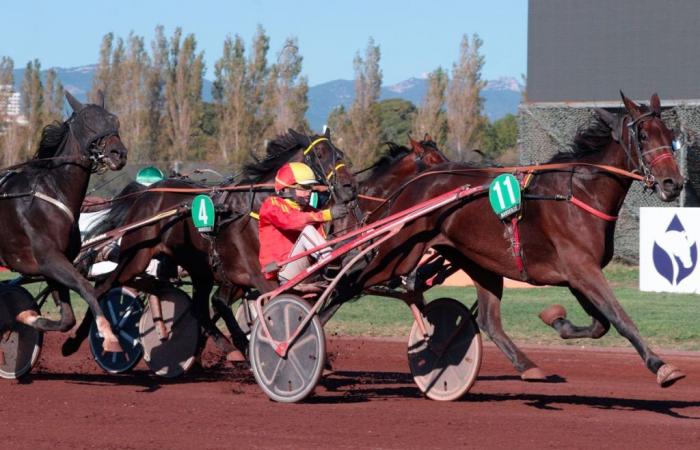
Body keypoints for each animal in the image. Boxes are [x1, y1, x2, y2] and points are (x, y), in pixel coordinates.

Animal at [0, 93, 129, 354]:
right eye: (88, 121)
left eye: (114, 120)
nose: (118, 154)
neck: (53, 192)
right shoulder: (49, 259)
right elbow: (85, 286)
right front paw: (109, 336)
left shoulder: (54, 265)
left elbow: (67, 319)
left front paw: (26, 316)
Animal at [59, 128, 356, 360]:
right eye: (321, 155)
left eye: (340, 154)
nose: (349, 188)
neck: (252, 208)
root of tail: (146, 193)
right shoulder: (258, 275)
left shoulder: (234, 277)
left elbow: (223, 304)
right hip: (137, 256)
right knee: (104, 286)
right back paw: (75, 341)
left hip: (197, 269)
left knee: (197, 306)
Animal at [330, 93, 688, 388]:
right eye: (643, 136)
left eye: (670, 137)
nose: (674, 183)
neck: (579, 193)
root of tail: (414, 185)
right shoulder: (582, 269)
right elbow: (620, 318)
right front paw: (661, 365)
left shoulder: (577, 274)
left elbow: (600, 324)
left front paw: (556, 319)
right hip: (399, 254)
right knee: (346, 285)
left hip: (479, 262)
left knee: (489, 321)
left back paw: (527, 366)